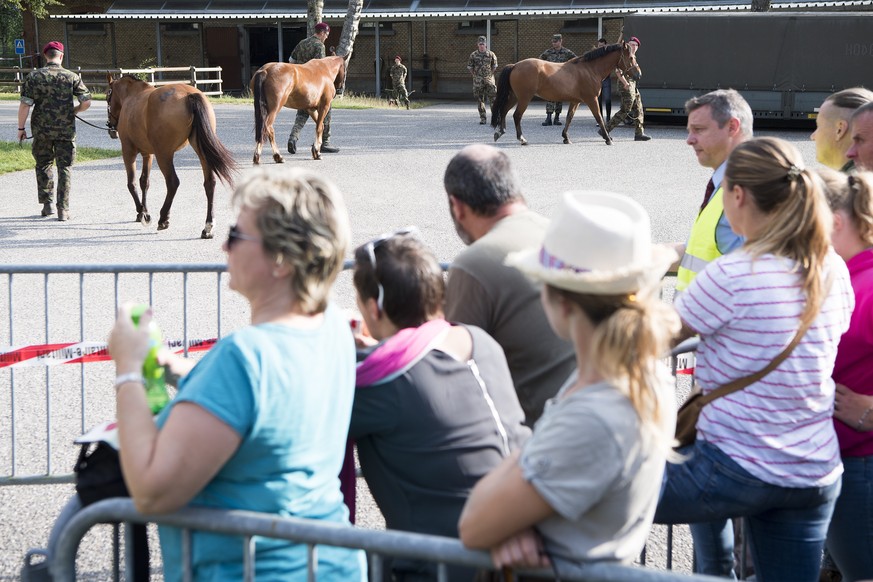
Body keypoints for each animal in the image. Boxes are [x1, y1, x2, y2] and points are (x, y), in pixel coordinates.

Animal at [105, 75, 238, 240]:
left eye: (107, 97)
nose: (110, 127)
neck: (132, 96)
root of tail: (189, 95)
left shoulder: (129, 151)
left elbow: (132, 183)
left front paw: (142, 212)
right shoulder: (148, 154)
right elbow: (144, 182)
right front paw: (143, 211)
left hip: (164, 154)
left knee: (173, 182)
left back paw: (163, 218)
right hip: (200, 150)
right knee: (209, 183)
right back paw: (208, 227)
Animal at [490, 41, 640, 146]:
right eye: (631, 57)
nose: (638, 74)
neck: (590, 69)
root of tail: (515, 65)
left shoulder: (575, 101)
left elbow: (569, 118)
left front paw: (566, 137)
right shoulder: (592, 99)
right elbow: (599, 118)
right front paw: (608, 139)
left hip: (514, 97)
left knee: (504, 110)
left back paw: (499, 132)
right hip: (524, 98)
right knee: (516, 115)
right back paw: (522, 139)